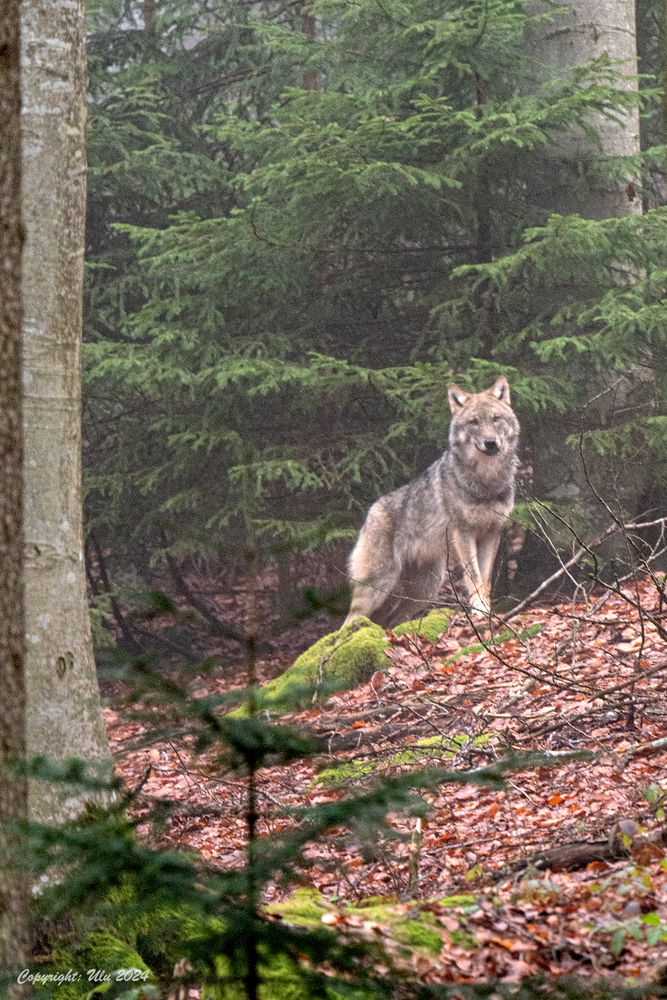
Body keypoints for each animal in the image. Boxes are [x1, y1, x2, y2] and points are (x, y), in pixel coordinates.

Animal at [344, 376, 520, 624]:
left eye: (496, 419)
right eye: (474, 422)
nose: (491, 443)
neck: (486, 480)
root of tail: (370, 512)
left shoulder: (492, 533)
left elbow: (485, 579)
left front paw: (486, 609)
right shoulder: (463, 532)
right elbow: (474, 576)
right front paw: (479, 609)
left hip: (426, 589)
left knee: (390, 621)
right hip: (377, 588)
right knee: (347, 621)